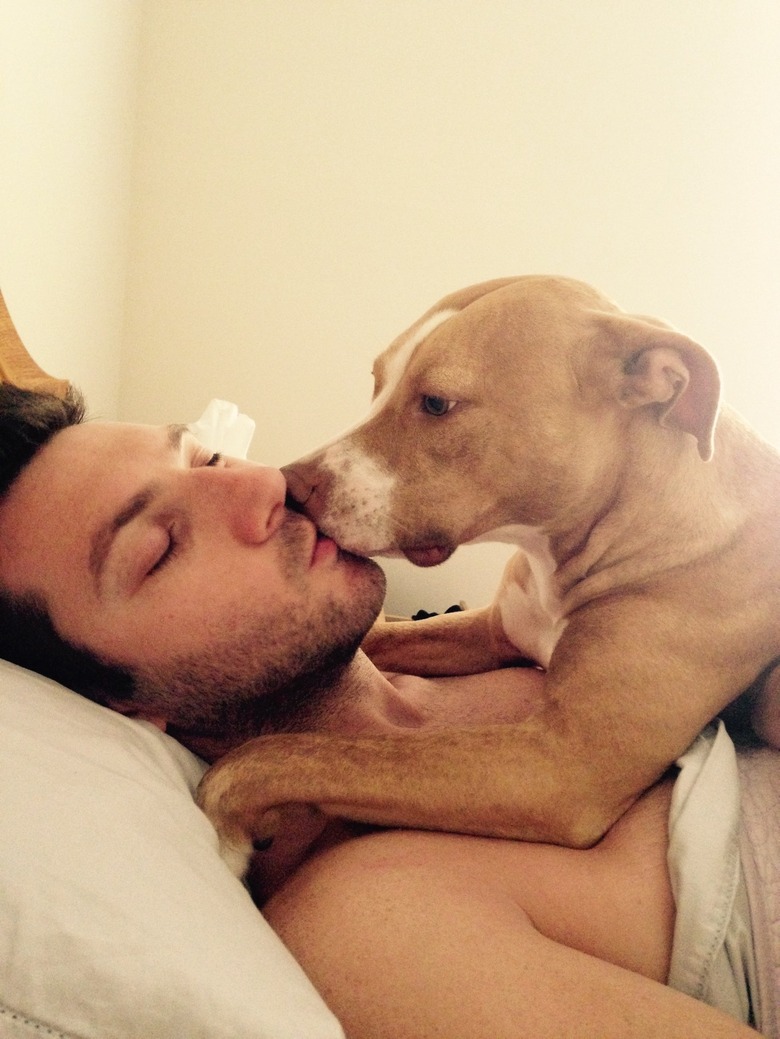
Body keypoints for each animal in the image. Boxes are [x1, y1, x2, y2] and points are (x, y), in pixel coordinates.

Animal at [198, 276, 780, 868]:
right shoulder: (490, 632)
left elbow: (297, 755)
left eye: (436, 403)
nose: (288, 487)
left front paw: (225, 824)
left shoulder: (561, 769)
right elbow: (382, 640)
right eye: (378, 383)